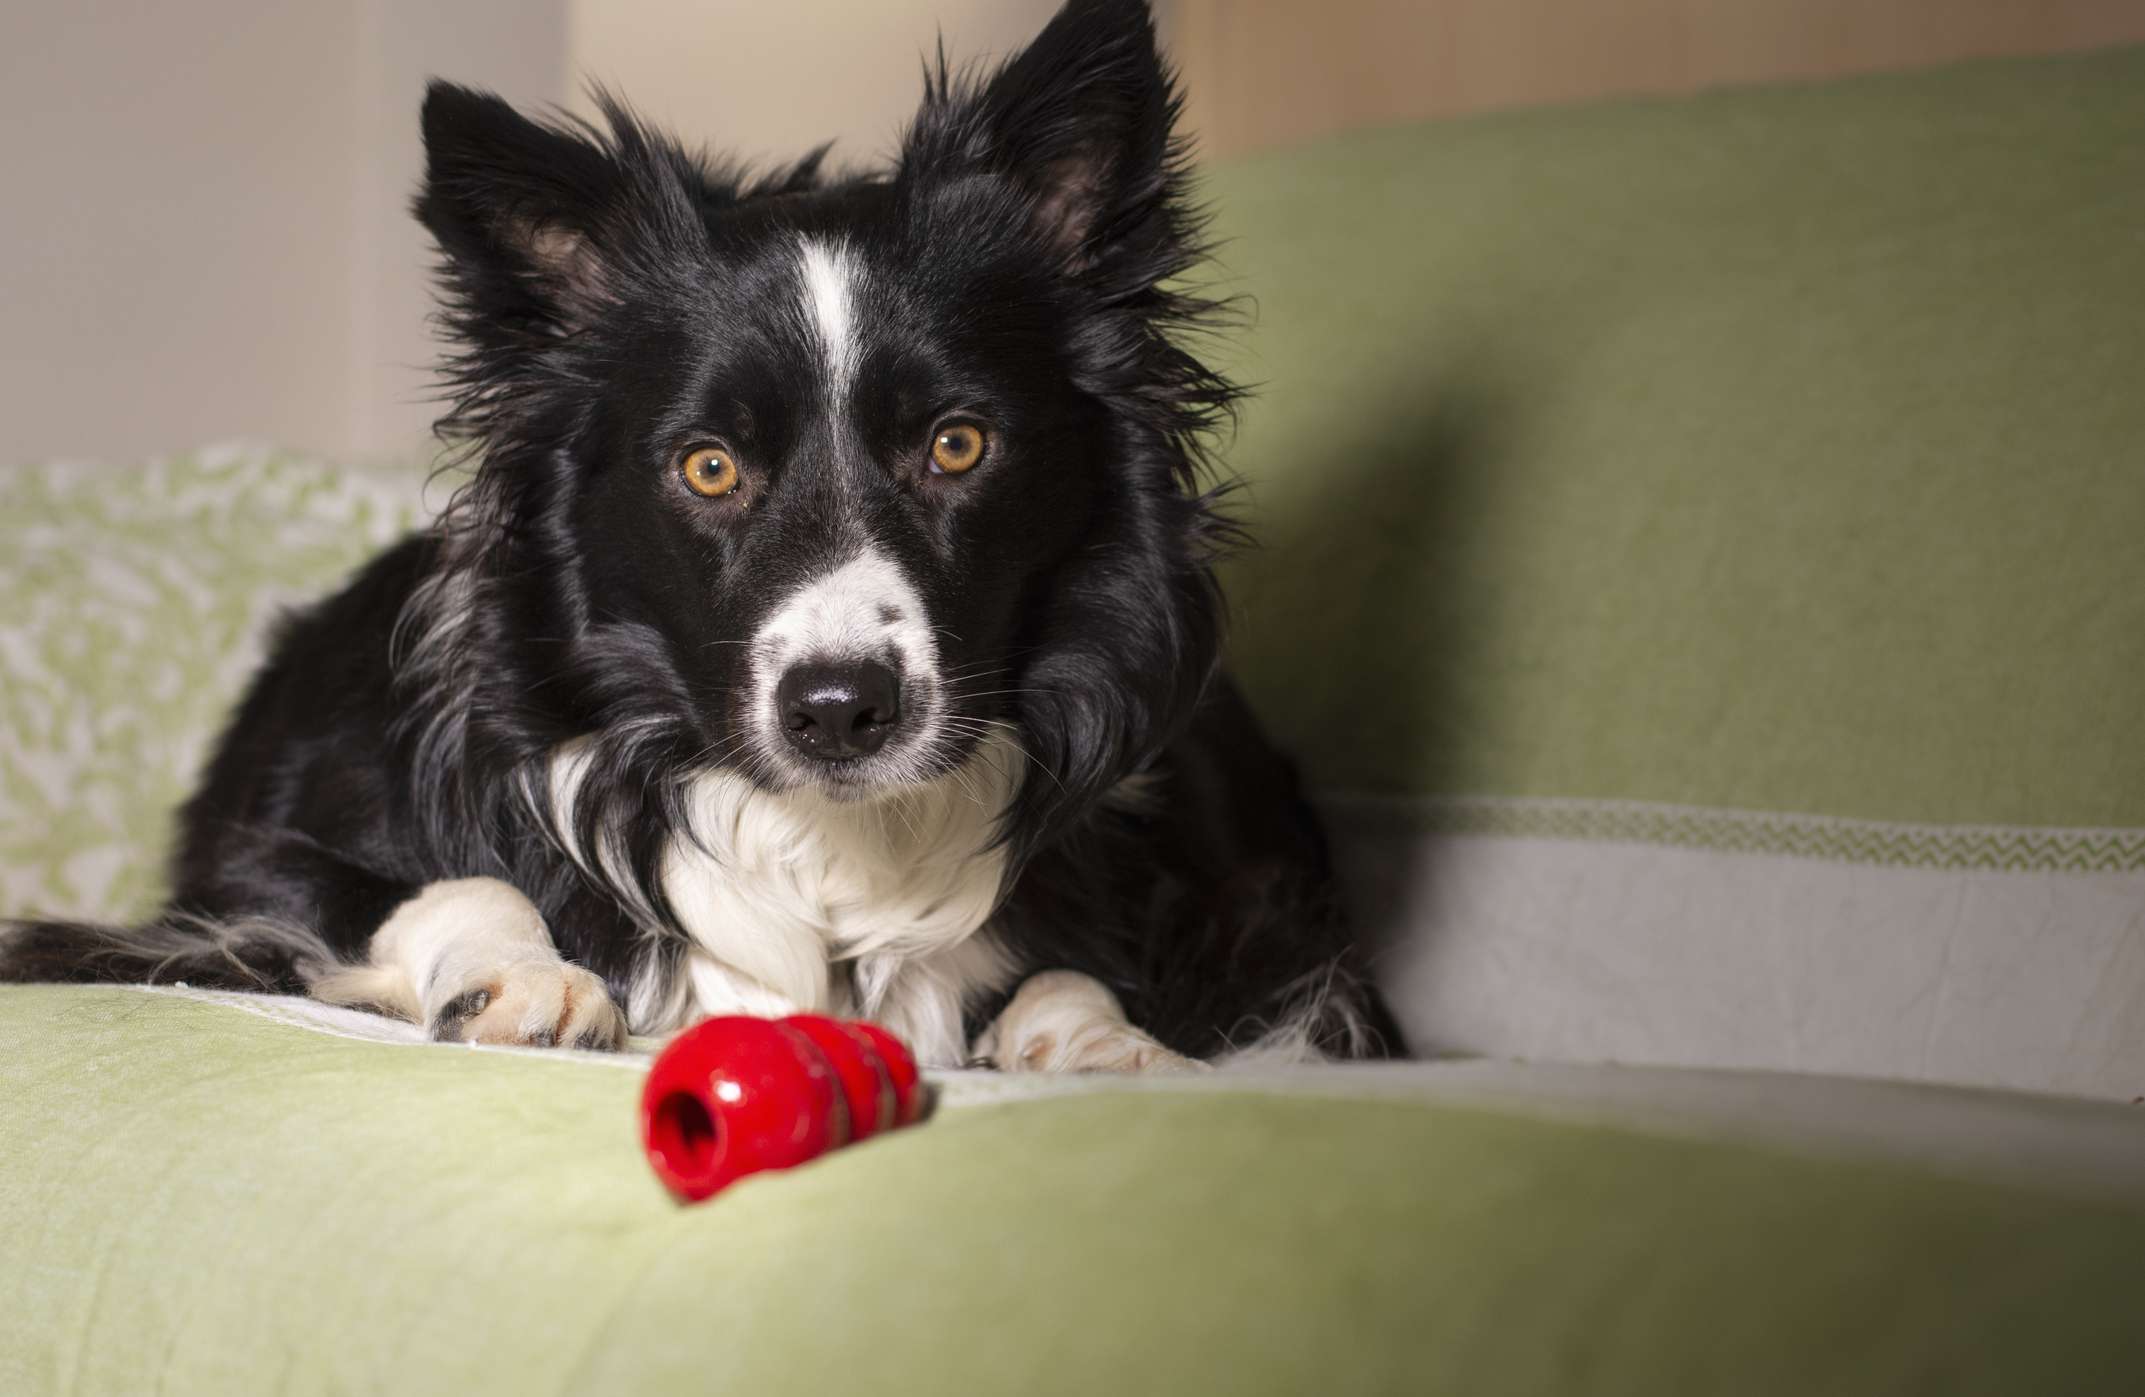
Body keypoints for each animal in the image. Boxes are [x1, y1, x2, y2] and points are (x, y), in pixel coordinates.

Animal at [0, 0, 1398, 1072]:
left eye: (958, 445)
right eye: (709, 465)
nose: (841, 711)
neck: (813, 836)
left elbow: (1075, 971)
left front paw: (1110, 1042)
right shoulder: (248, 874)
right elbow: (447, 882)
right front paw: (528, 977)